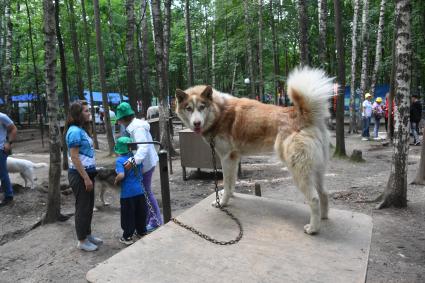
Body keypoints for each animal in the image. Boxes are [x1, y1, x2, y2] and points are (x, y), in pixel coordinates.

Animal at [174, 67, 332, 235]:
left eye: (202, 107)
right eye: (189, 108)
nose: (196, 123)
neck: (219, 112)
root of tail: (302, 113)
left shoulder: (226, 158)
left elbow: (227, 182)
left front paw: (222, 203)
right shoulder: (234, 158)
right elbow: (231, 182)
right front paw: (230, 195)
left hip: (298, 171)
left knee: (314, 199)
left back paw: (313, 228)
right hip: (317, 170)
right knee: (324, 193)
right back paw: (323, 217)